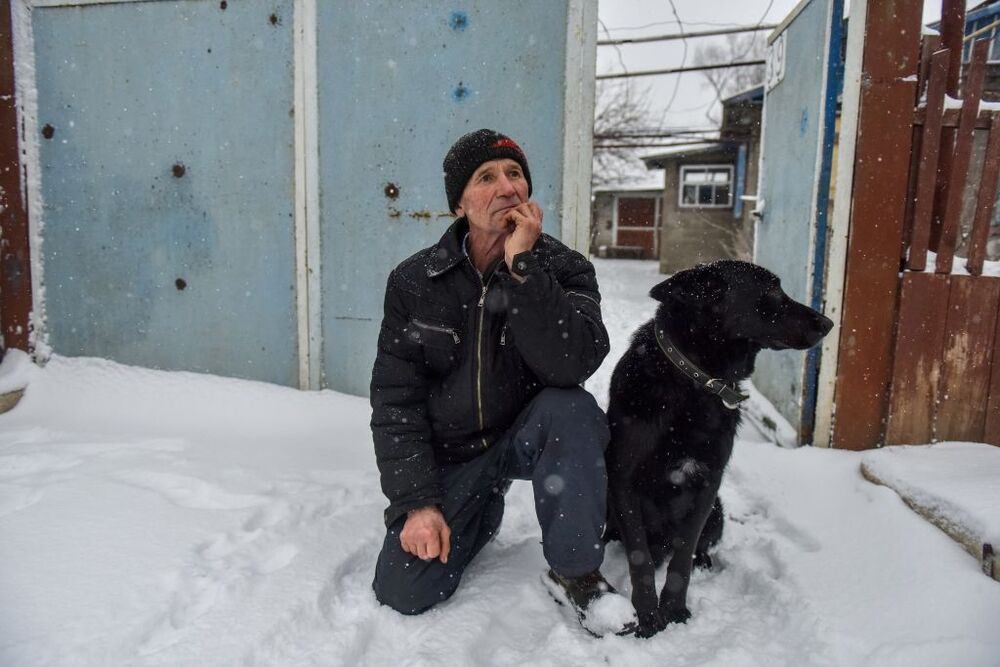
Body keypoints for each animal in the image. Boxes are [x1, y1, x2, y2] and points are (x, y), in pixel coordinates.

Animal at [604, 260, 832, 636]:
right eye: (772, 291)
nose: (828, 323)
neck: (695, 381)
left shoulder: (707, 484)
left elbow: (683, 556)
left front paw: (674, 609)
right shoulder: (623, 477)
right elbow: (640, 558)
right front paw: (648, 616)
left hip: (718, 511)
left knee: (699, 545)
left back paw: (705, 560)